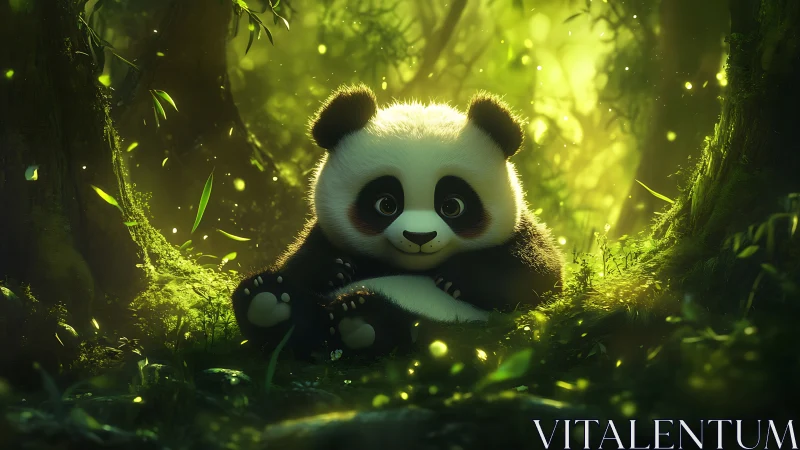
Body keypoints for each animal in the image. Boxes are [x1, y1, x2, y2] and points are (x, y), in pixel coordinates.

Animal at [231, 84, 564, 357]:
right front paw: (334, 268)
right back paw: (270, 303)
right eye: (386, 204)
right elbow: (297, 263)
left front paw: (456, 277)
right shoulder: (320, 235)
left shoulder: (523, 232)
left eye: (452, 206)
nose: (420, 237)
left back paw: (363, 321)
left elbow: (538, 275)